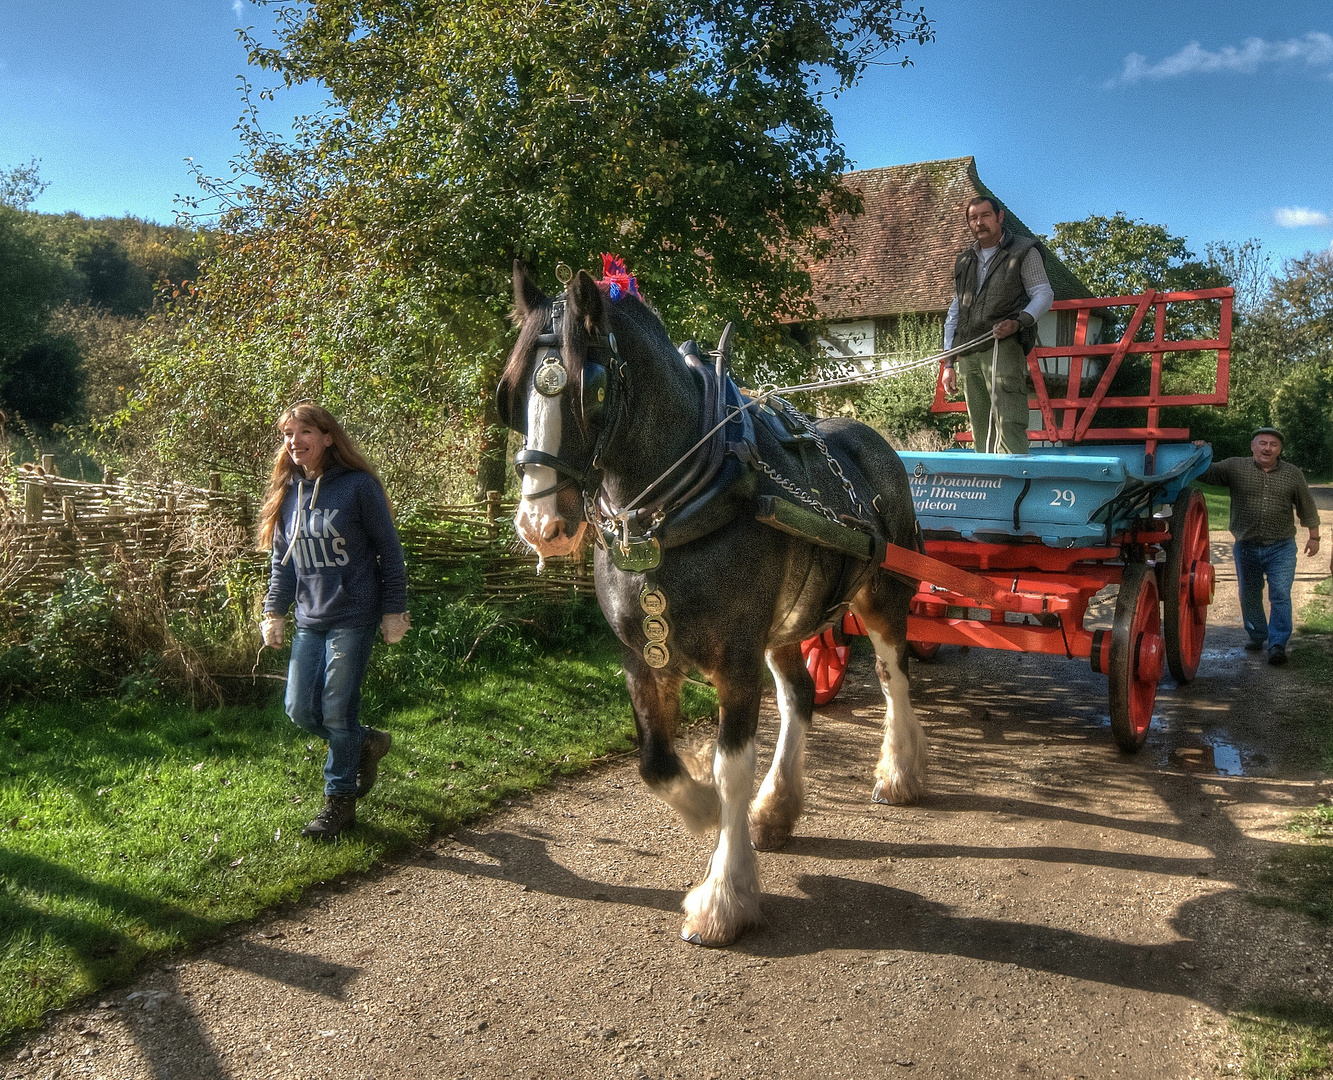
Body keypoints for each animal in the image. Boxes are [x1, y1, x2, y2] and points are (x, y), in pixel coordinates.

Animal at [495, 262, 922, 944]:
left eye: (590, 388)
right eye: (509, 394)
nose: (541, 525)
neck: (672, 514)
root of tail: (871, 438)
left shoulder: (736, 660)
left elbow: (730, 770)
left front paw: (725, 895)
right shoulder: (642, 657)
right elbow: (655, 763)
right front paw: (706, 813)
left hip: (880, 596)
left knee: (892, 675)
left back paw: (899, 773)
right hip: (786, 624)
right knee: (800, 694)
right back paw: (776, 809)